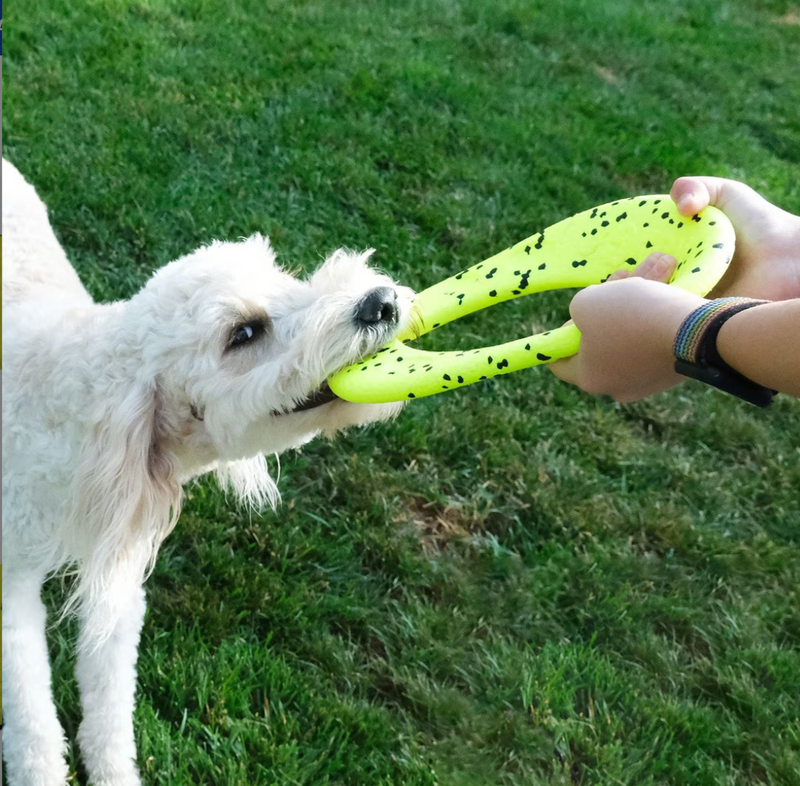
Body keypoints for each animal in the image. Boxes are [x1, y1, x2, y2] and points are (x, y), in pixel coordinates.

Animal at [0, 159, 412, 784]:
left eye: (286, 276)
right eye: (243, 333)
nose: (382, 300)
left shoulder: (119, 568)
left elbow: (110, 705)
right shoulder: (10, 579)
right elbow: (31, 721)